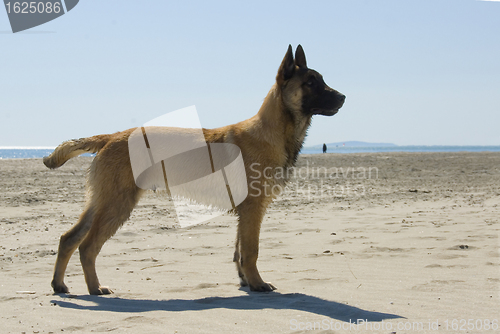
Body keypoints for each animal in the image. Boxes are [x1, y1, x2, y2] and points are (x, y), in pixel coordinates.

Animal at [44, 45, 344, 294]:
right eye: (310, 83)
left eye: (321, 80)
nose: (343, 97)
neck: (273, 130)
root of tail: (111, 136)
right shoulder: (253, 209)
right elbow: (251, 251)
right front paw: (257, 284)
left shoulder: (245, 213)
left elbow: (239, 252)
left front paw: (246, 282)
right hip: (117, 205)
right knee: (87, 247)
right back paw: (95, 288)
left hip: (102, 202)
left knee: (68, 239)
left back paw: (59, 285)